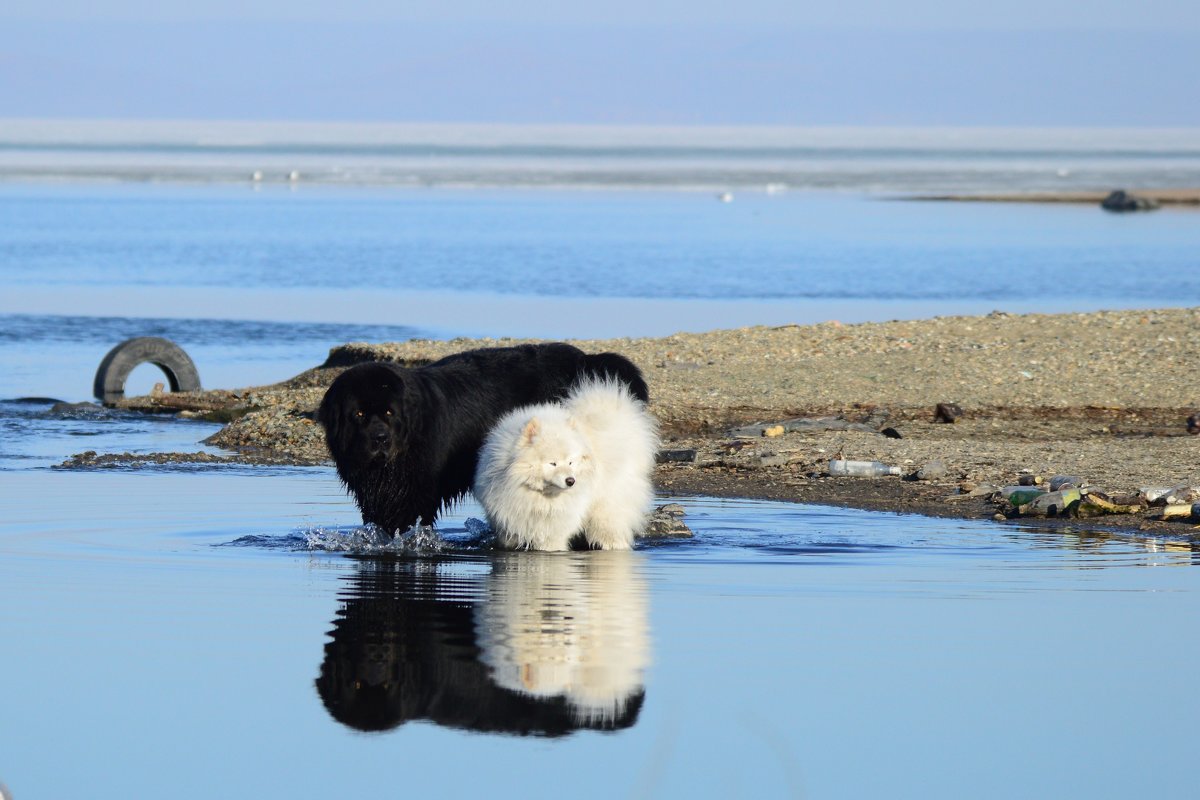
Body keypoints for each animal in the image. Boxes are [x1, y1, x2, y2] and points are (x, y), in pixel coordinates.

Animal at [316, 340, 648, 534]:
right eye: (359, 414)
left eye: (389, 413)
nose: (380, 438)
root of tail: (585, 360)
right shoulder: (376, 495)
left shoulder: (413, 495)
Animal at [470, 376, 657, 551]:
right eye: (552, 463)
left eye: (570, 462)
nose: (571, 481)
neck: (539, 496)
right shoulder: (508, 524)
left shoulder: (553, 531)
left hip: (607, 508)